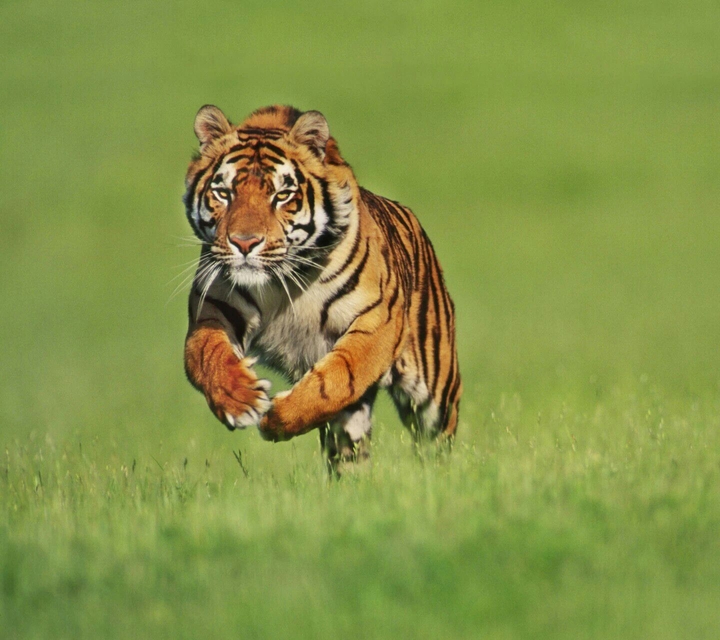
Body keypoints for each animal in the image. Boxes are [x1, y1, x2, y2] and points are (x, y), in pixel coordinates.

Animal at [182, 104, 462, 472]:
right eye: (223, 193)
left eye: (281, 195)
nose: (244, 243)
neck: (280, 281)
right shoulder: (212, 307)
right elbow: (206, 355)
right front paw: (239, 399)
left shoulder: (376, 321)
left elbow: (337, 377)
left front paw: (276, 419)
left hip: (436, 390)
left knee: (436, 439)